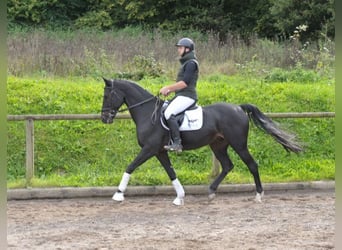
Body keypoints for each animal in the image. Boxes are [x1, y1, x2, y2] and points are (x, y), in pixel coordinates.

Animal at [99, 78, 302, 205]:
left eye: (107, 95)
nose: (104, 118)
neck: (148, 113)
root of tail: (238, 107)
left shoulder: (149, 149)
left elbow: (130, 166)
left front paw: (118, 194)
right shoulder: (160, 151)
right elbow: (171, 173)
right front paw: (180, 197)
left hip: (238, 144)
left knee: (252, 164)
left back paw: (259, 195)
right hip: (218, 145)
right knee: (227, 165)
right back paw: (211, 191)